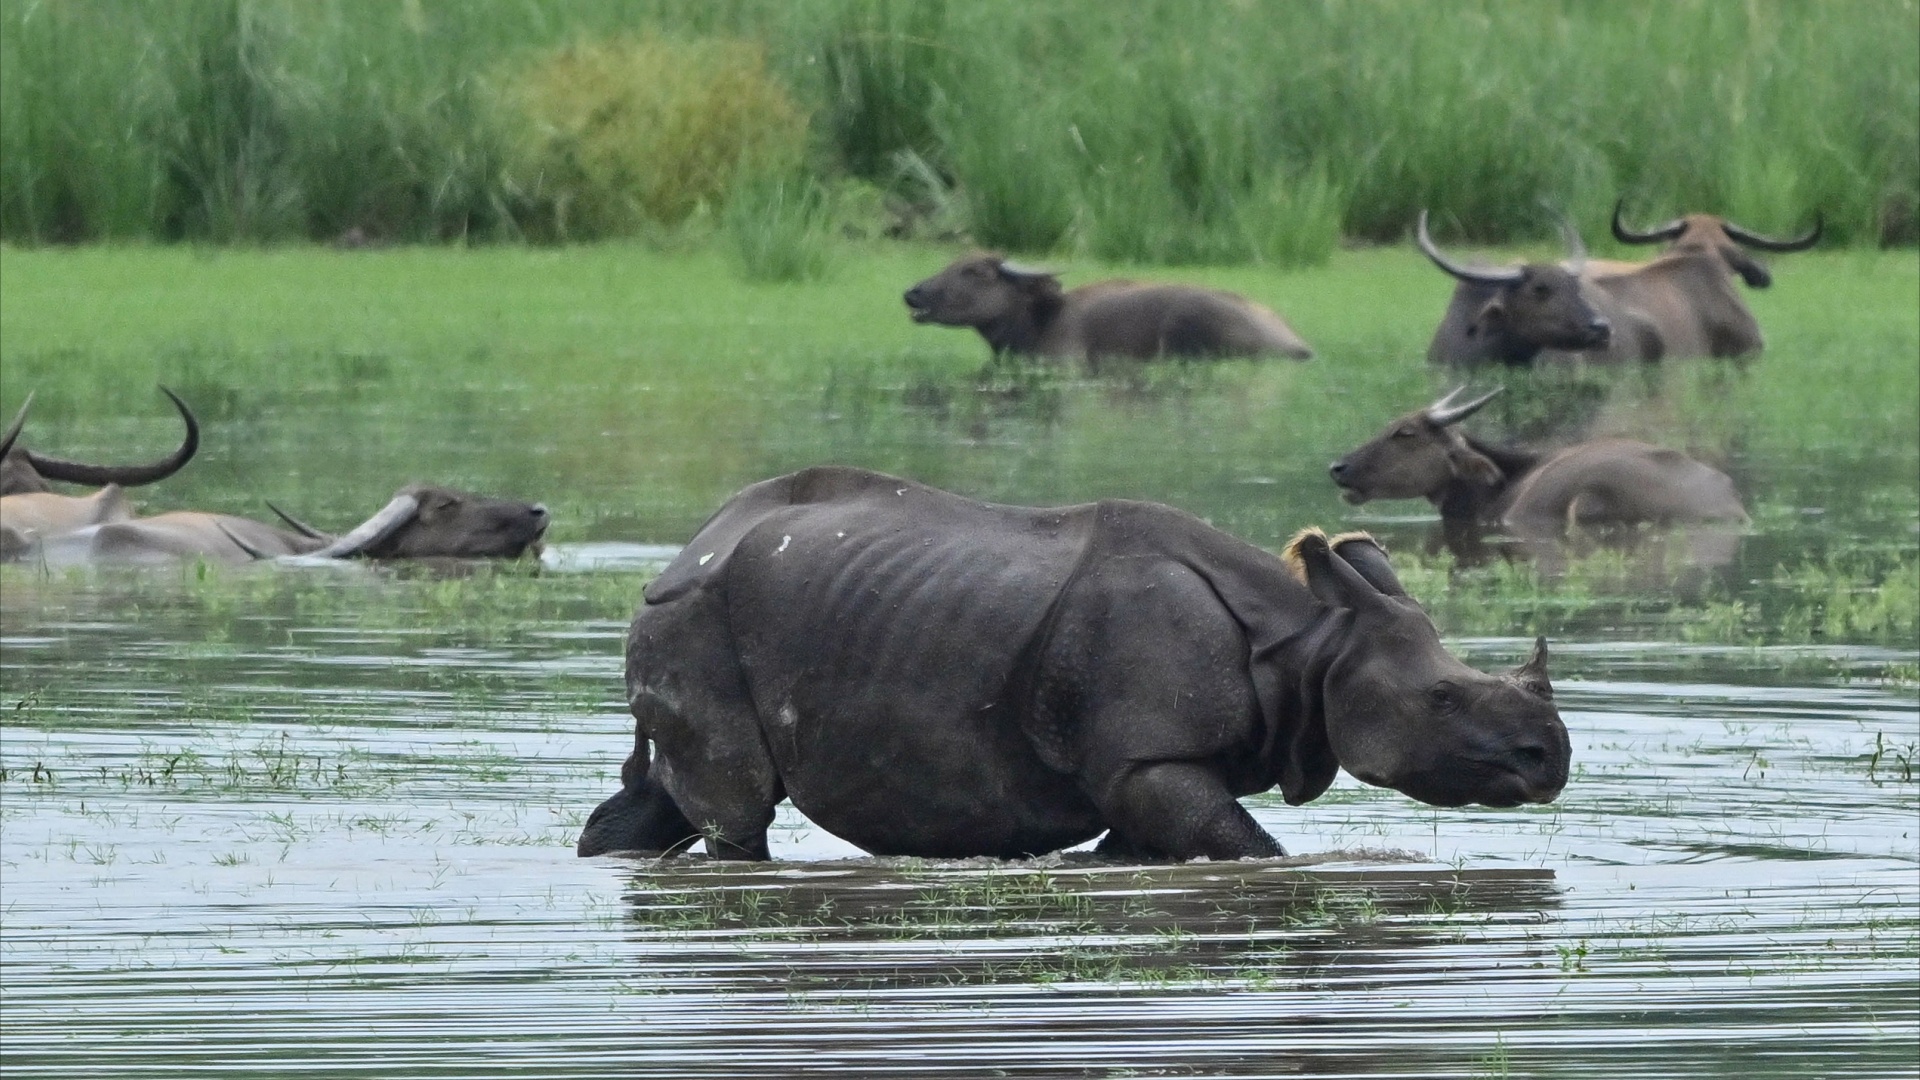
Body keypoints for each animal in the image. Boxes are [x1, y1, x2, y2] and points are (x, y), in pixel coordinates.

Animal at [568, 466, 1559, 860]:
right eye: (1443, 696)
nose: (1553, 757)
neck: (1309, 644)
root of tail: (690, 549)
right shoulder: (1147, 756)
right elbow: (1248, 849)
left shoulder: (1144, 767)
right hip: (697, 618)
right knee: (736, 808)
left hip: (710, 614)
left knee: (680, 794)